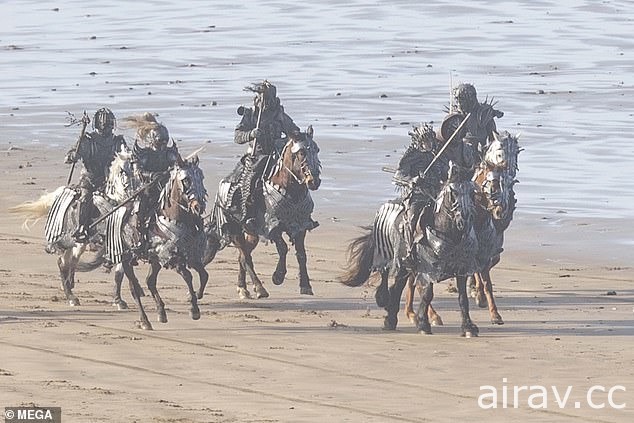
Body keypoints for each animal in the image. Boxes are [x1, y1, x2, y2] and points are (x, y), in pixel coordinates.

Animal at [211, 127, 320, 300]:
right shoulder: (272, 226)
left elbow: (301, 254)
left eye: (317, 150)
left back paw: (243, 288)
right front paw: (278, 276)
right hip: (235, 231)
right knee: (246, 257)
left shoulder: (301, 226)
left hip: (252, 234)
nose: (314, 181)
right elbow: (283, 248)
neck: (290, 189)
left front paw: (305, 286)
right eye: (302, 152)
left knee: (242, 257)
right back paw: (259, 288)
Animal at [338, 162, 476, 338]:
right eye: (454, 192)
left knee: (398, 286)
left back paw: (390, 319)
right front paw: (423, 324)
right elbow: (427, 294)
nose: (464, 221)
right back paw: (384, 303)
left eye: (473, 192)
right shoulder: (428, 269)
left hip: (405, 264)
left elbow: (462, 298)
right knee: (385, 276)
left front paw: (468, 327)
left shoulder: (461, 269)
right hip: (389, 257)